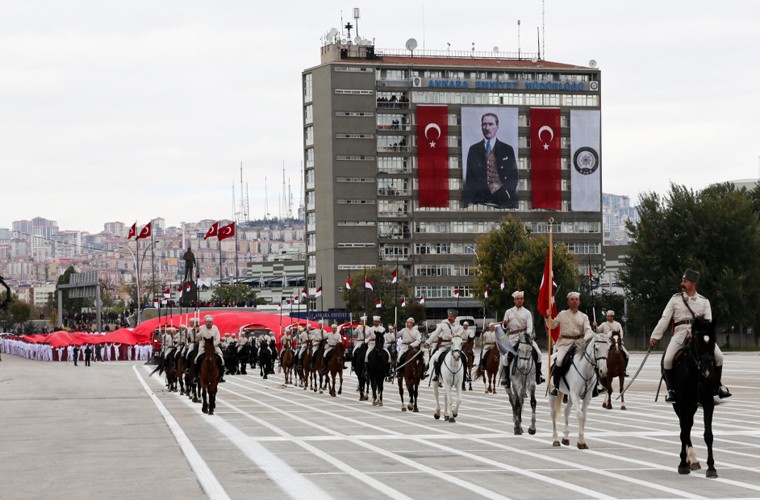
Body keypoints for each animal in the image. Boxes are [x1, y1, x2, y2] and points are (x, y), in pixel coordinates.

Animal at [672, 316, 720, 476]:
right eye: (698, 342)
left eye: (713, 341)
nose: (707, 369)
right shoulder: (682, 404)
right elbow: (683, 433)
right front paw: (682, 464)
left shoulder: (708, 403)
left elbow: (708, 435)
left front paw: (711, 468)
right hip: (679, 405)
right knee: (685, 429)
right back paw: (689, 460)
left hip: (692, 406)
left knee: (689, 425)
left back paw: (692, 459)